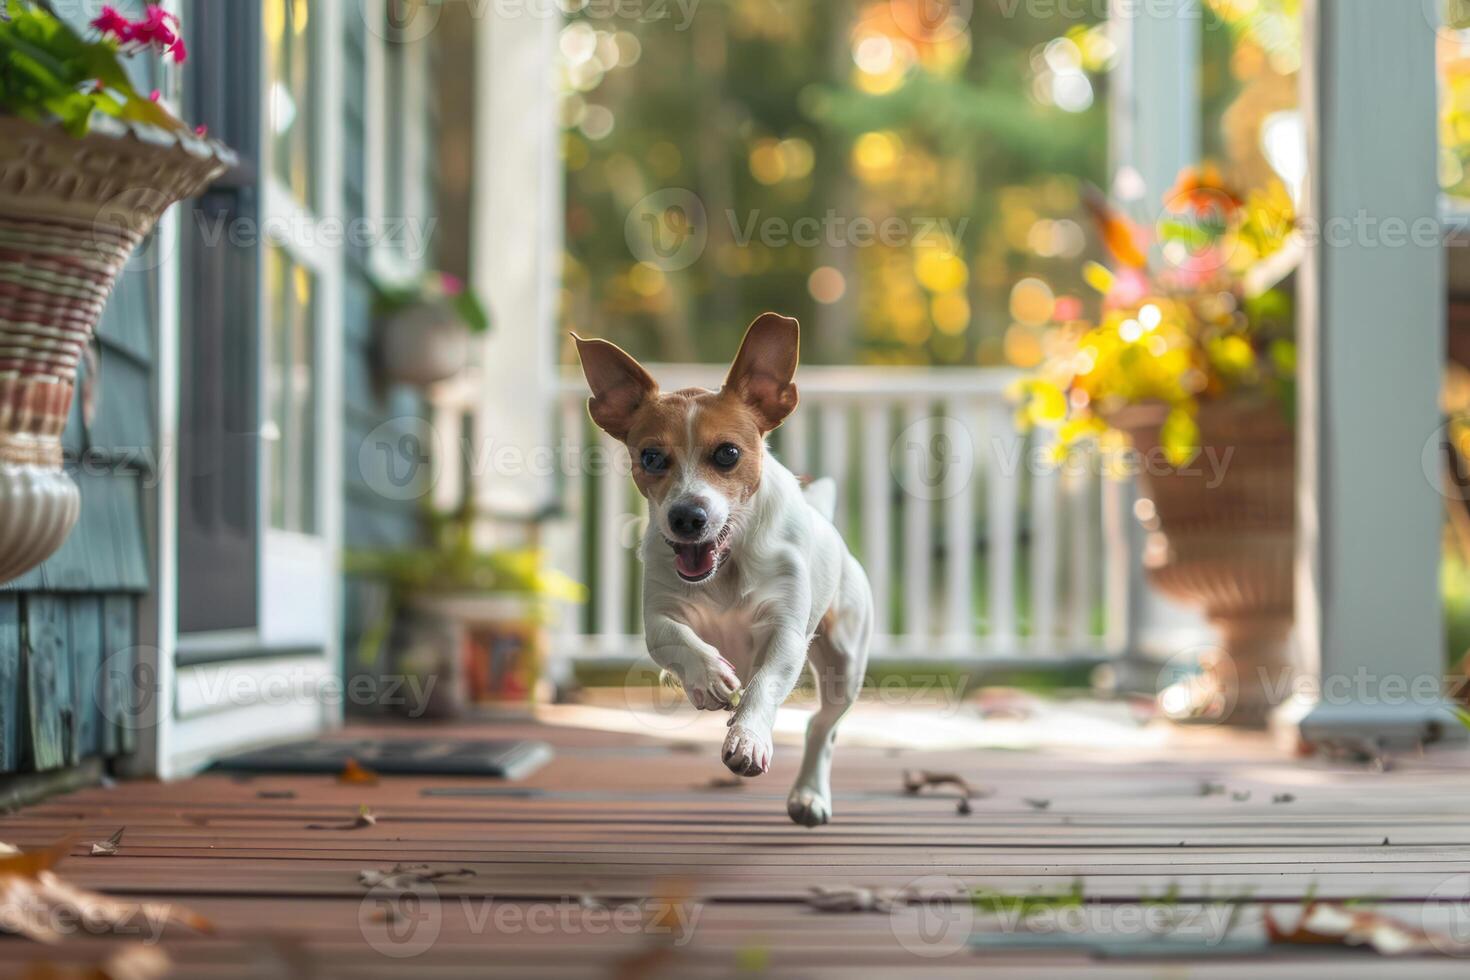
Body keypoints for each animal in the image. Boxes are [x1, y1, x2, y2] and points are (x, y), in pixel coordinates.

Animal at [573, 314, 870, 828]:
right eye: (651, 457)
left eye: (728, 454)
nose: (687, 517)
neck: (725, 568)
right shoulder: (658, 617)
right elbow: (677, 639)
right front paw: (708, 675)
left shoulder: (786, 632)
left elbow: (764, 686)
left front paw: (748, 736)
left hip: (845, 665)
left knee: (821, 727)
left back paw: (809, 793)